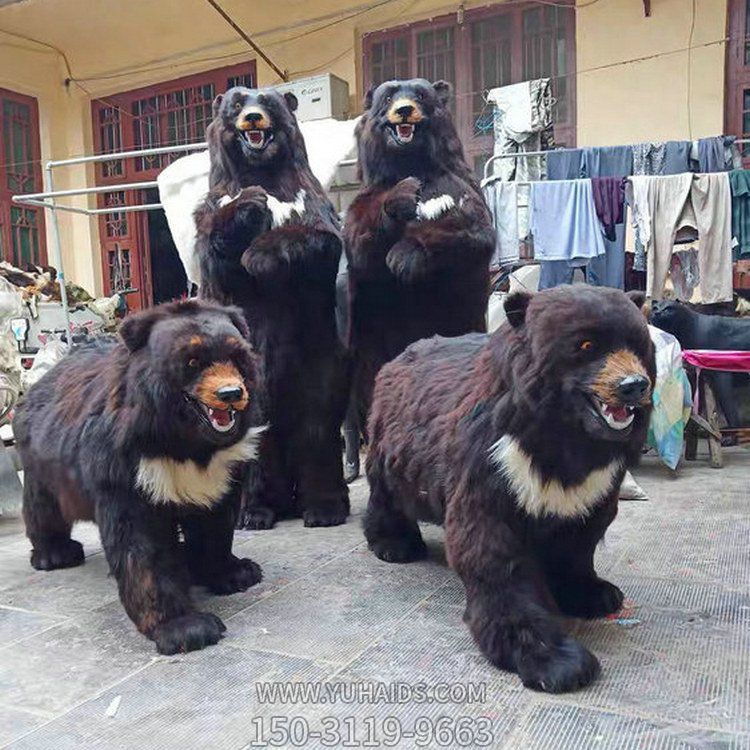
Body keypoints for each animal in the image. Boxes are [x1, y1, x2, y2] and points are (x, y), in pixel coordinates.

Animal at [14, 300, 266, 654]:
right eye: (192, 361)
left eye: (236, 356)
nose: (231, 393)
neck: (187, 443)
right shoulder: (126, 467)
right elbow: (141, 545)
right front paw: (187, 628)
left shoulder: (221, 470)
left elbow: (216, 522)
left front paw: (237, 572)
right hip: (43, 463)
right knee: (43, 507)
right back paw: (55, 554)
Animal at [195, 86, 349, 530]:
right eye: (236, 100)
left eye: (268, 101)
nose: (252, 118)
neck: (261, 171)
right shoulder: (214, 207)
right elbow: (219, 256)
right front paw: (249, 205)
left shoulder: (308, 202)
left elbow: (317, 239)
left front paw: (261, 252)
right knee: (255, 439)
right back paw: (255, 510)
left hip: (319, 361)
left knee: (318, 426)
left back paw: (323, 506)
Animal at [343, 78, 494, 430]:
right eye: (388, 96)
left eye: (420, 94)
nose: (404, 110)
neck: (409, 161)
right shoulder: (369, 197)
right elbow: (360, 242)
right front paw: (400, 198)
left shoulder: (455, 185)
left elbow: (471, 231)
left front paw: (404, 255)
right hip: (371, 343)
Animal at [364, 285, 655, 692]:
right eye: (585, 345)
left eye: (637, 345)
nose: (633, 386)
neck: (564, 436)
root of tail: (397, 358)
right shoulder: (495, 461)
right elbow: (493, 554)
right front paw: (558, 662)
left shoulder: (594, 483)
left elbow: (579, 540)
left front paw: (597, 594)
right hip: (395, 444)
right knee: (387, 490)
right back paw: (395, 545)